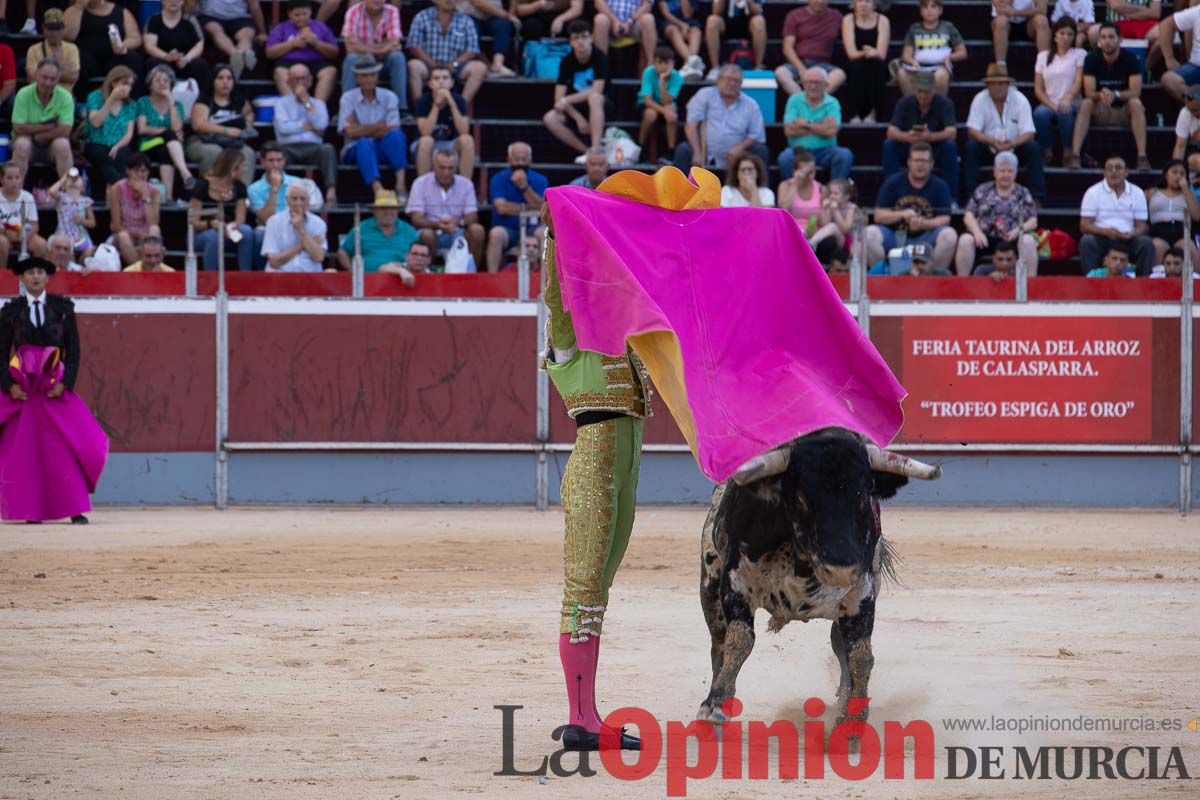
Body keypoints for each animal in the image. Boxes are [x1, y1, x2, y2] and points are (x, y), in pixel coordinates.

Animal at [700, 431, 940, 724]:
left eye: (864, 497)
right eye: (801, 499)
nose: (841, 569)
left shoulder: (861, 595)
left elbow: (861, 656)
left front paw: (853, 719)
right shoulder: (735, 586)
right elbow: (738, 641)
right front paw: (716, 706)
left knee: (841, 646)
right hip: (709, 587)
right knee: (718, 642)